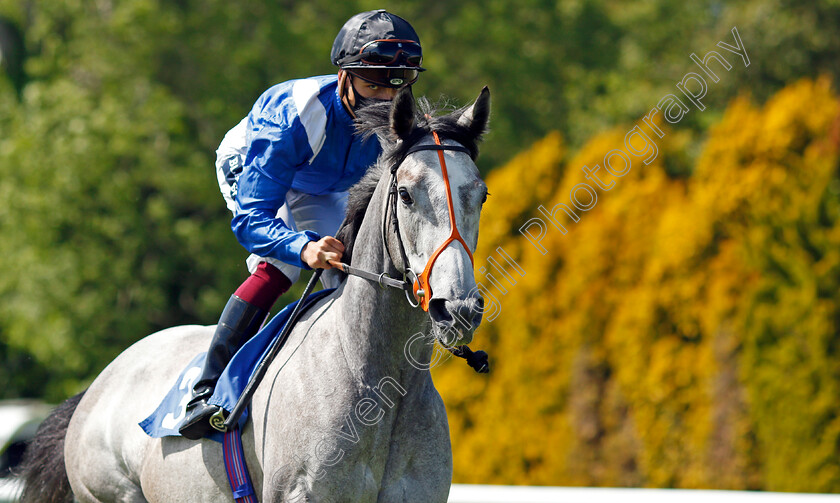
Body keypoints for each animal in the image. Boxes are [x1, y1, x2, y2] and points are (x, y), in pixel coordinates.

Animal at [18, 87, 492, 503]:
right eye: (406, 195)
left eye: (482, 194)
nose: (457, 309)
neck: (379, 385)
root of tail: (98, 386)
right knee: (271, 265)